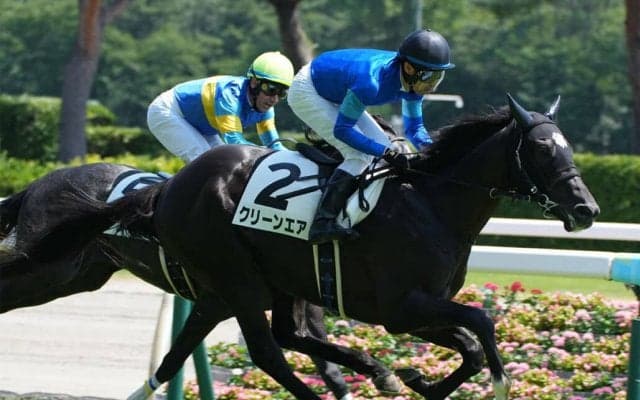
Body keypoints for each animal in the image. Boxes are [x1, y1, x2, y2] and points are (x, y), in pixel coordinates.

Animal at [10, 94, 600, 400]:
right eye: (543, 150)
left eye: (570, 148)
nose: (586, 210)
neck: (431, 202)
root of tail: (164, 190)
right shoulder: (399, 307)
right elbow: (482, 323)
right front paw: (487, 382)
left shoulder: (412, 311)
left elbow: (470, 343)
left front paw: (411, 378)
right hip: (232, 278)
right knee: (268, 351)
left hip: (246, 282)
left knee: (274, 340)